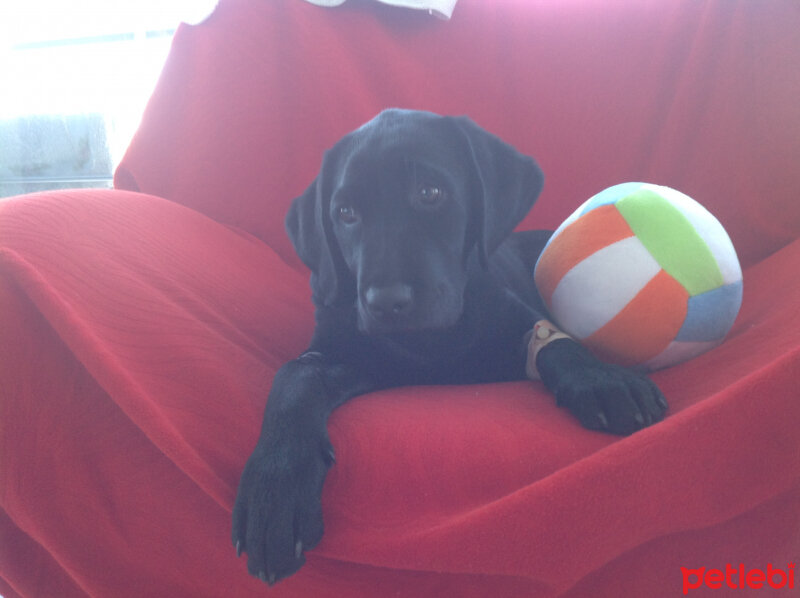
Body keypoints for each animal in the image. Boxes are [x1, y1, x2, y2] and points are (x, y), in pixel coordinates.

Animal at [233, 108, 668, 584]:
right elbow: (295, 375)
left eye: (430, 192)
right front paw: (275, 487)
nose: (385, 303)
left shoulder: (511, 313)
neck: (433, 342)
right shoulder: (345, 352)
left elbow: (553, 341)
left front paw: (602, 380)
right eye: (345, 213)